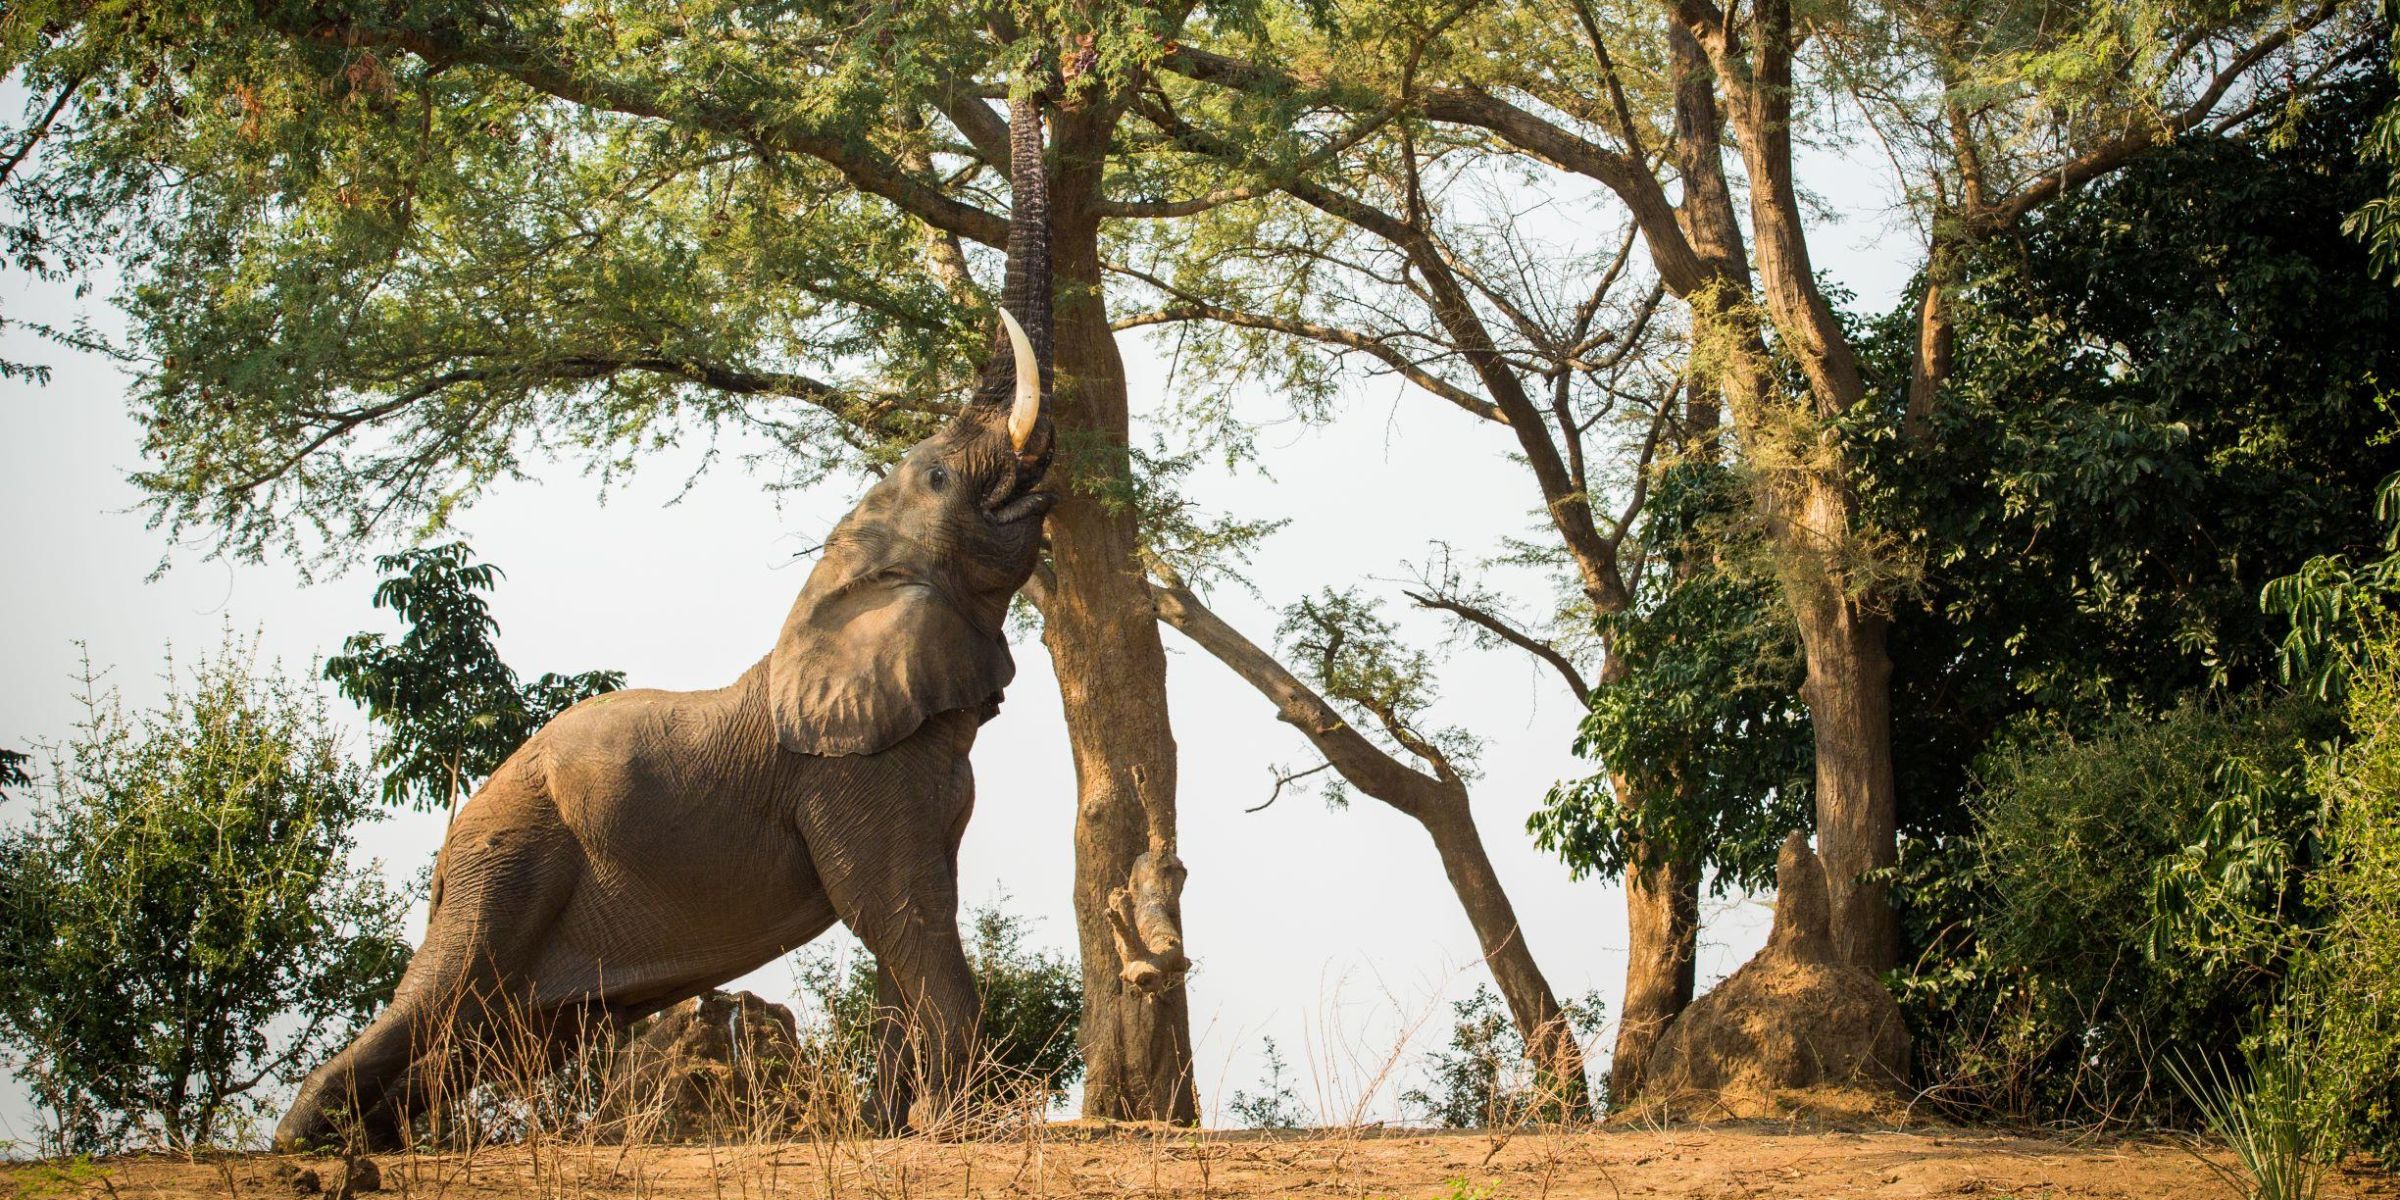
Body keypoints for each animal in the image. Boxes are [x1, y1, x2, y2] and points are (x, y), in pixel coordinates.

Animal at [275, 101, 1059, 1152]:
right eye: (938, 475)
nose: (1038, 87)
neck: (845, 578)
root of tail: (452, 840)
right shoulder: (847, 777)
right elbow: (900, 911)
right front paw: (970, 1129)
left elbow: (910, 923)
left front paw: (900, 1127)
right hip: (507, 860)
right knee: (438, 1002)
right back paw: (304, 1143)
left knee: (473, 1039)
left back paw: (374, 1141)